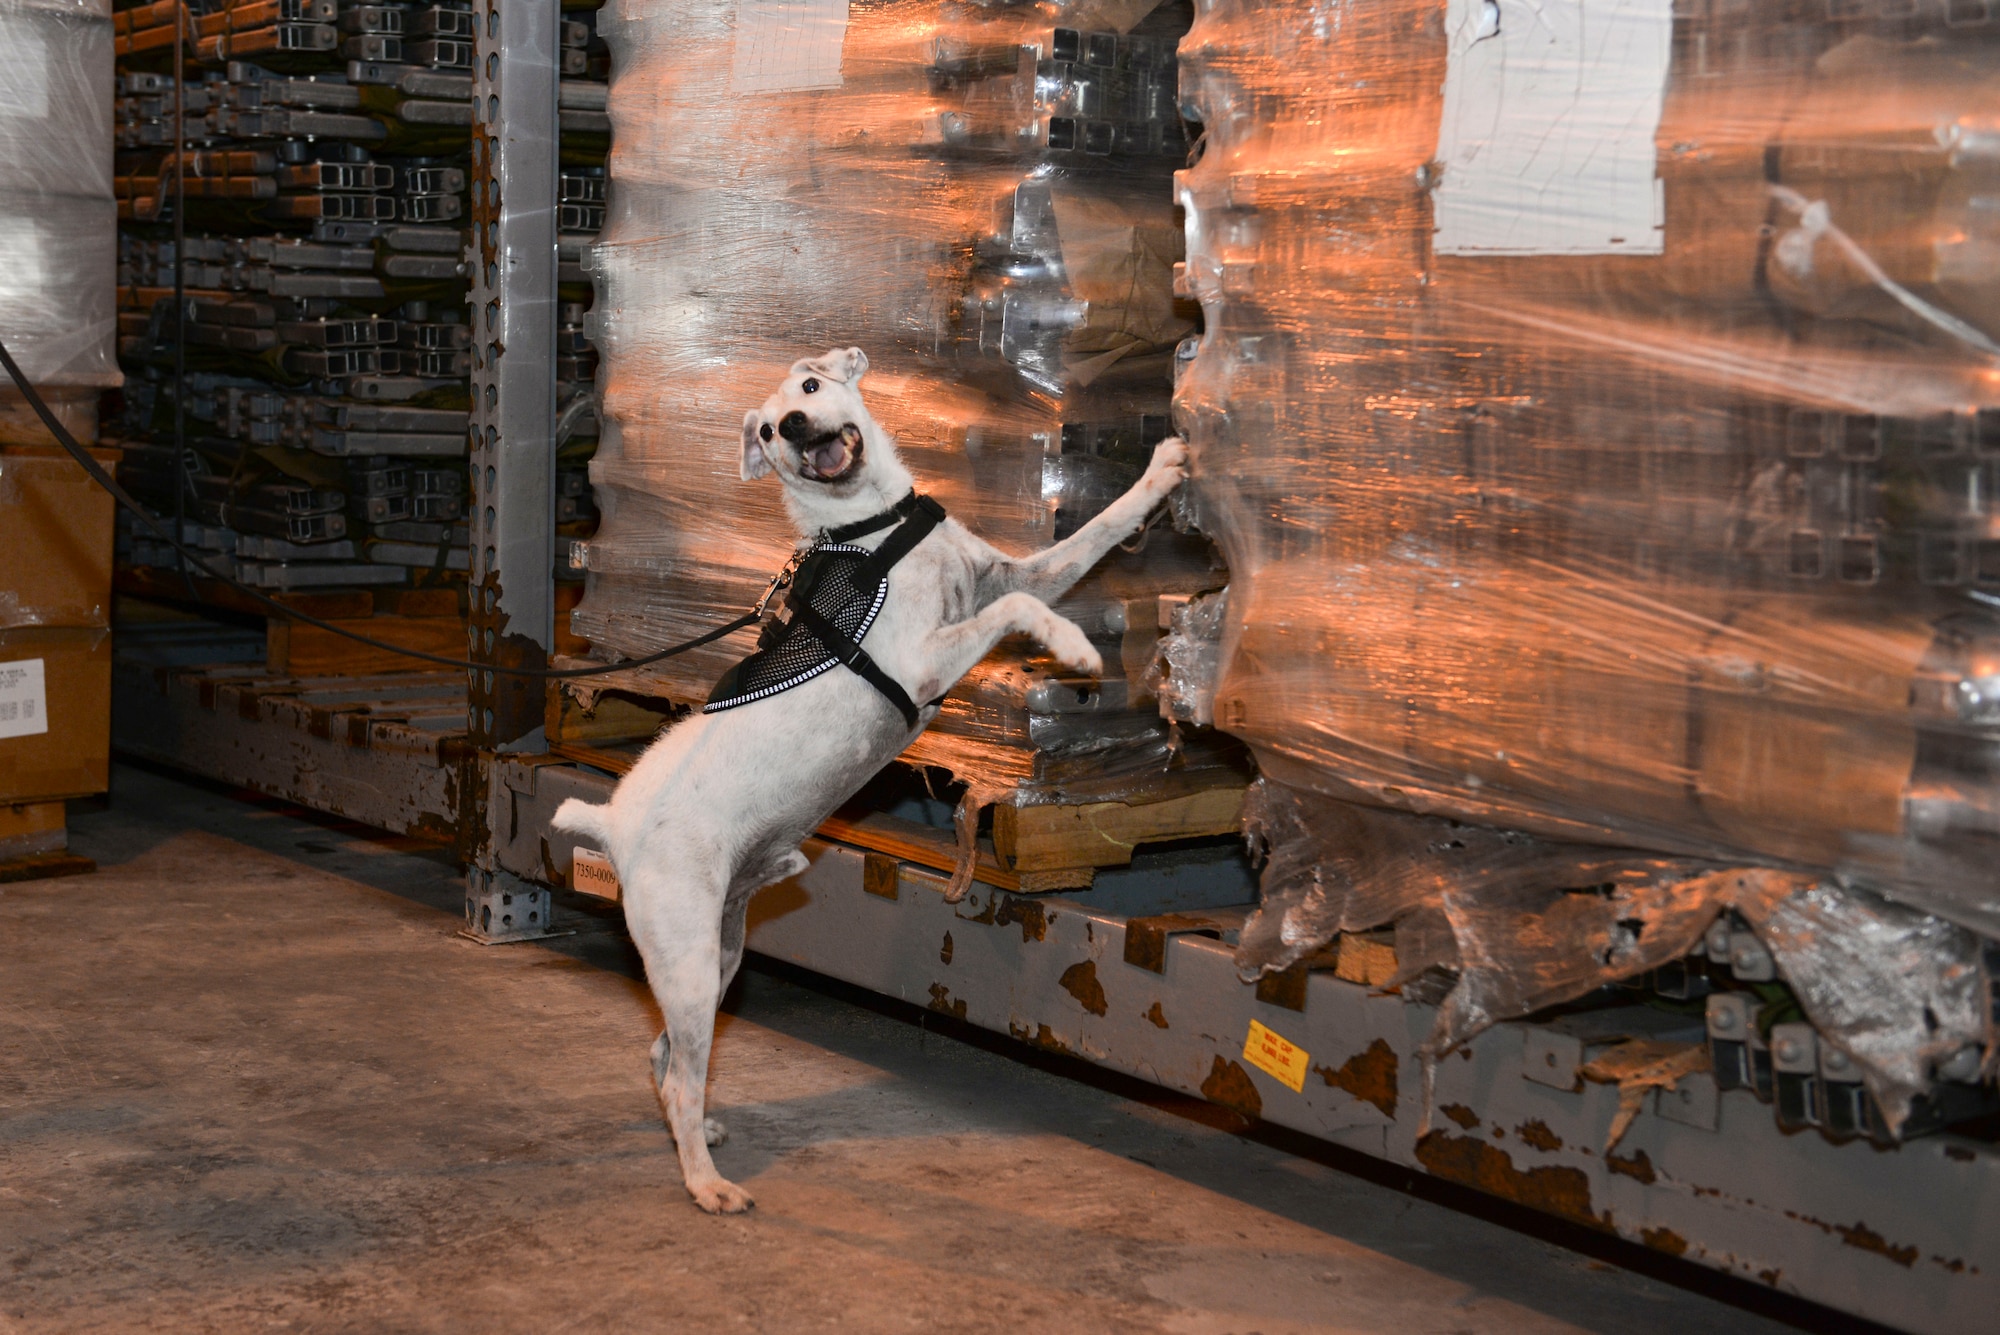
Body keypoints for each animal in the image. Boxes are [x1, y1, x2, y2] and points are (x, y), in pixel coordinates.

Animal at [548, 349, 1184, 1215]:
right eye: (767, 431)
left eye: (810, 389)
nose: (793, 426)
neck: (871, 530)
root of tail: (612, 821)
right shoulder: (922, 660)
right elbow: (1023, 606)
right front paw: (1076, 647)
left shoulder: (1004, 571)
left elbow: (1092, 533)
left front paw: (1163, 471)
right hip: (685, 957)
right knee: (678, 1072)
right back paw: (706, 1183)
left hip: (720, 953)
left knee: (666, 1057)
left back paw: (699, 1134)